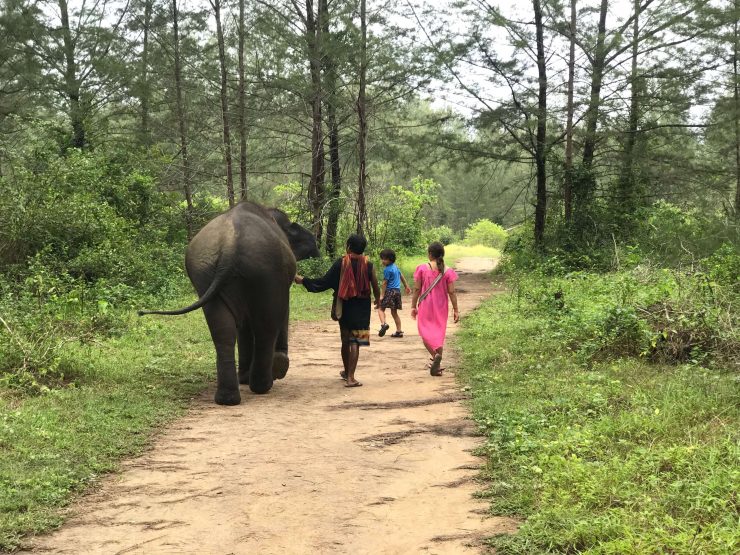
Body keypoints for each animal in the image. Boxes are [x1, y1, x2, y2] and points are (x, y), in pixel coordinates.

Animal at [139, 202, 319, 405]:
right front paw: (278, 366)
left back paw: (228, 398)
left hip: (205, 272)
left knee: (222, 330)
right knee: (266, 326)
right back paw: (262, 386)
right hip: (266, 270)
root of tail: (229, 245)